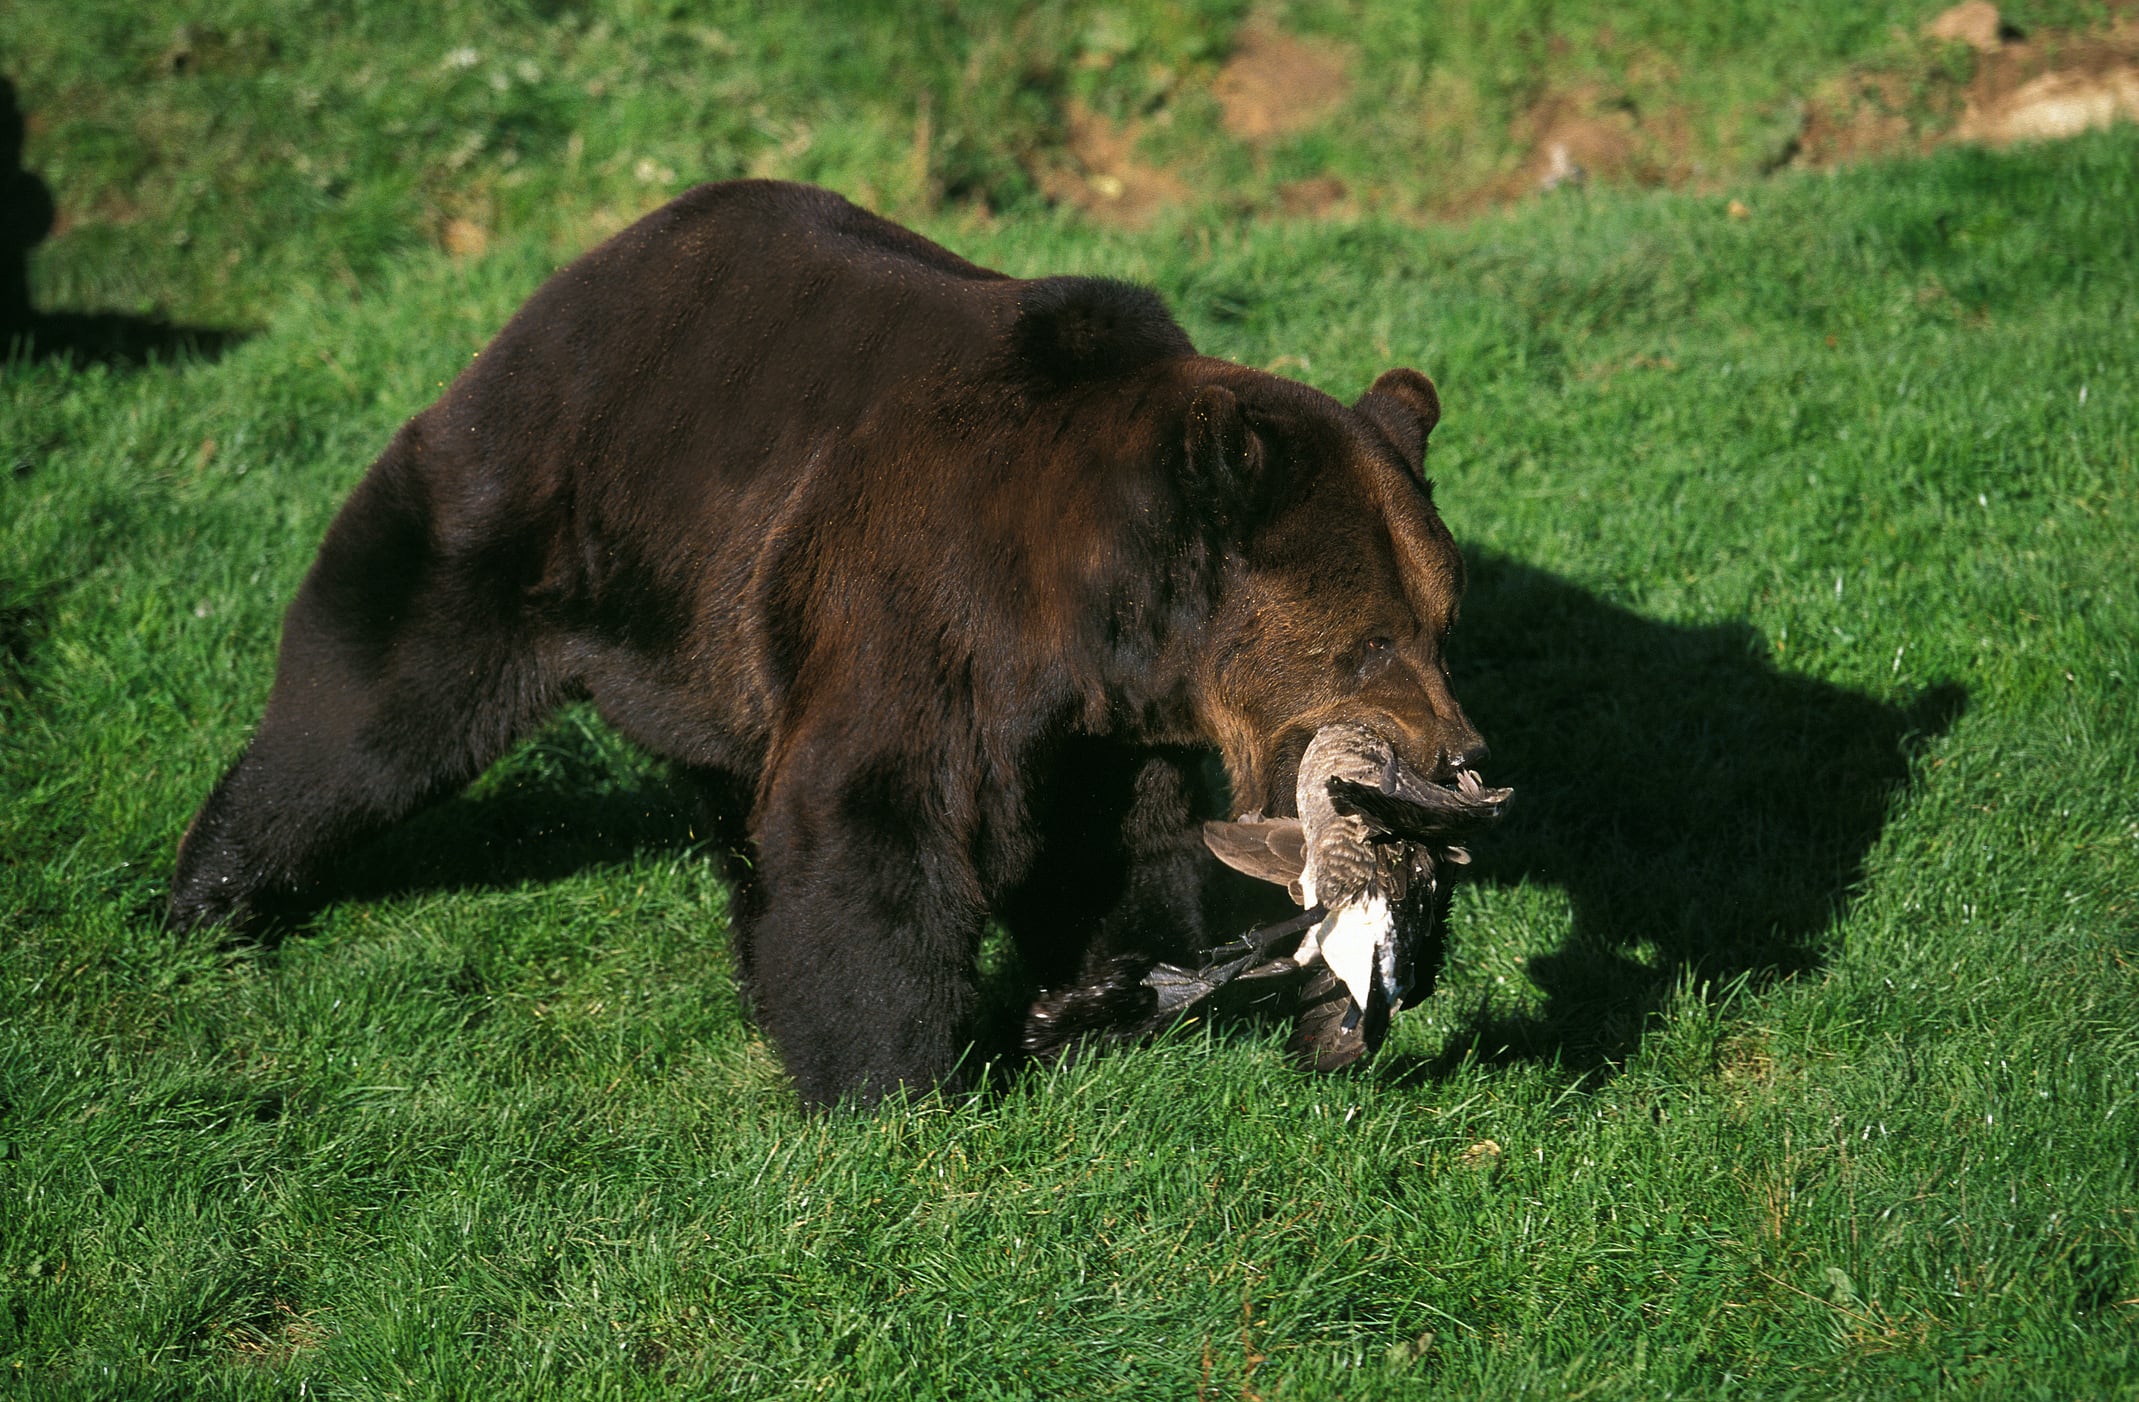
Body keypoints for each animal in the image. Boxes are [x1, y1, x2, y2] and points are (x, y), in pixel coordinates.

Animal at [170, 180, 1489, 1107]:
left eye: (1440, 622)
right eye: (1366, 643)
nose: (1457, 761)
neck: (1094, 615)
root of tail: (577, 273)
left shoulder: (1099, 722)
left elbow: (1110, 847)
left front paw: (1101, 998)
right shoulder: (925, 608)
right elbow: (874, 822)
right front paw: (892, 1076)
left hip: (706, 641)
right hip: (529, 511)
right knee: (369, 711)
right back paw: (212, 895)